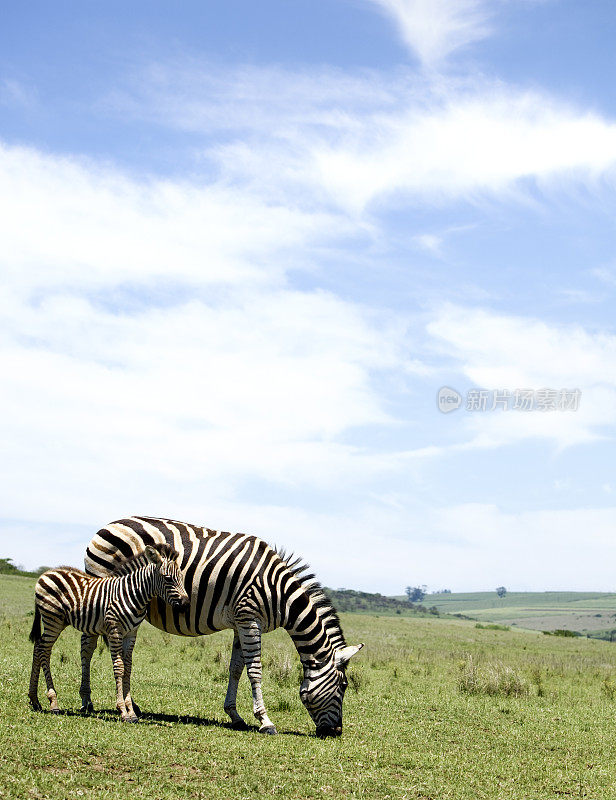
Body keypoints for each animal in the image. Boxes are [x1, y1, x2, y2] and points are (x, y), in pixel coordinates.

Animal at [29, 544, 188, 720]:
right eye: (168, 579)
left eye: (181, 578)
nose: (186, 604)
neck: (133, 596)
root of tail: (45, 573)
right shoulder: (114, 630)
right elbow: (119, 667)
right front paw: (123, 710)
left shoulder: (131, 633)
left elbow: (128, 668)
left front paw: (131, 711)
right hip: (53, 620)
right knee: (44, 650)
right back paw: (53, 702)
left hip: (57, 621)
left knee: (38, 646)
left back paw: (34, 700)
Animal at [81, 520, 360, 736]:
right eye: (344, 686)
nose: (336, 732)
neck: (280, 593)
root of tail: (106, 526)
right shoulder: (249, 619)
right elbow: (255, 671)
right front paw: (265, 721)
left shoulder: (241, 623)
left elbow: (236, 669)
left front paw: (235, 716)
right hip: (98, 595)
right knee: (87, 646)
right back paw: (87, 701)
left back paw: (132, 706)